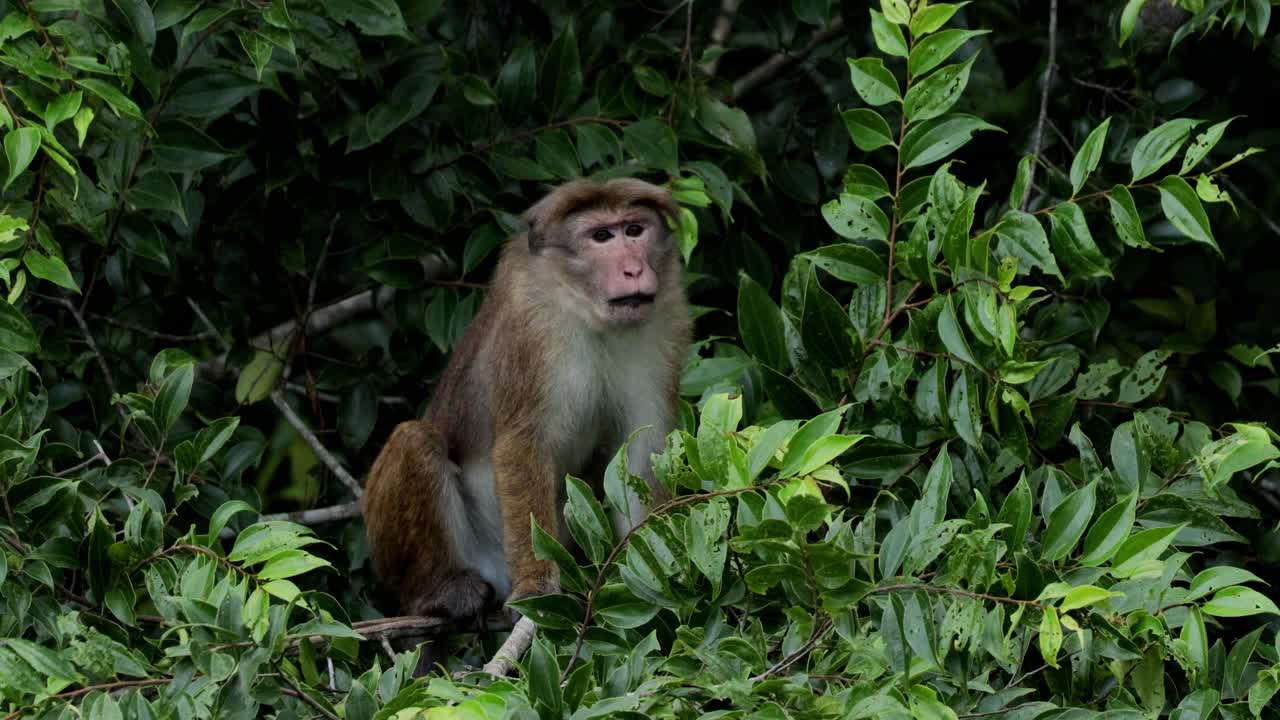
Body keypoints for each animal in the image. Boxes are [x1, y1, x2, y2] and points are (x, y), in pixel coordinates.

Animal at [360, 178, 691, 622]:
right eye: (601, 236)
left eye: (634, 230)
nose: (634, 269)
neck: (585, 311)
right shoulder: (530, 329)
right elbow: (522, 443)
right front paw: (536, 585)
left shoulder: (665, 324)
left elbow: (642, 452)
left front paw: (652, 573)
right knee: (417, 439)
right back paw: (437, 591)